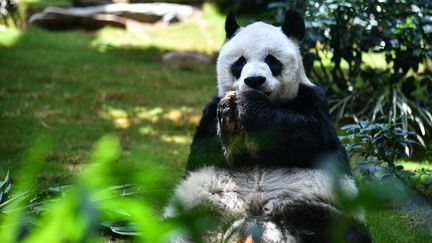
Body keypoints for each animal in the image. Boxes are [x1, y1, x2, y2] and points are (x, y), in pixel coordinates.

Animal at [165, 9, 372, 243]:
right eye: (240, 62)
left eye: (272, 60)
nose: (254, 80)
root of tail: (253, 222)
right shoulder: (209, 112)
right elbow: (207, 149)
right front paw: (231, 123)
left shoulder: (312, 100)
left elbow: (311, 135)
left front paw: (248, 105)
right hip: (201, 206)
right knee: (177, 230)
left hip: (316, 206)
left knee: (345, 232)